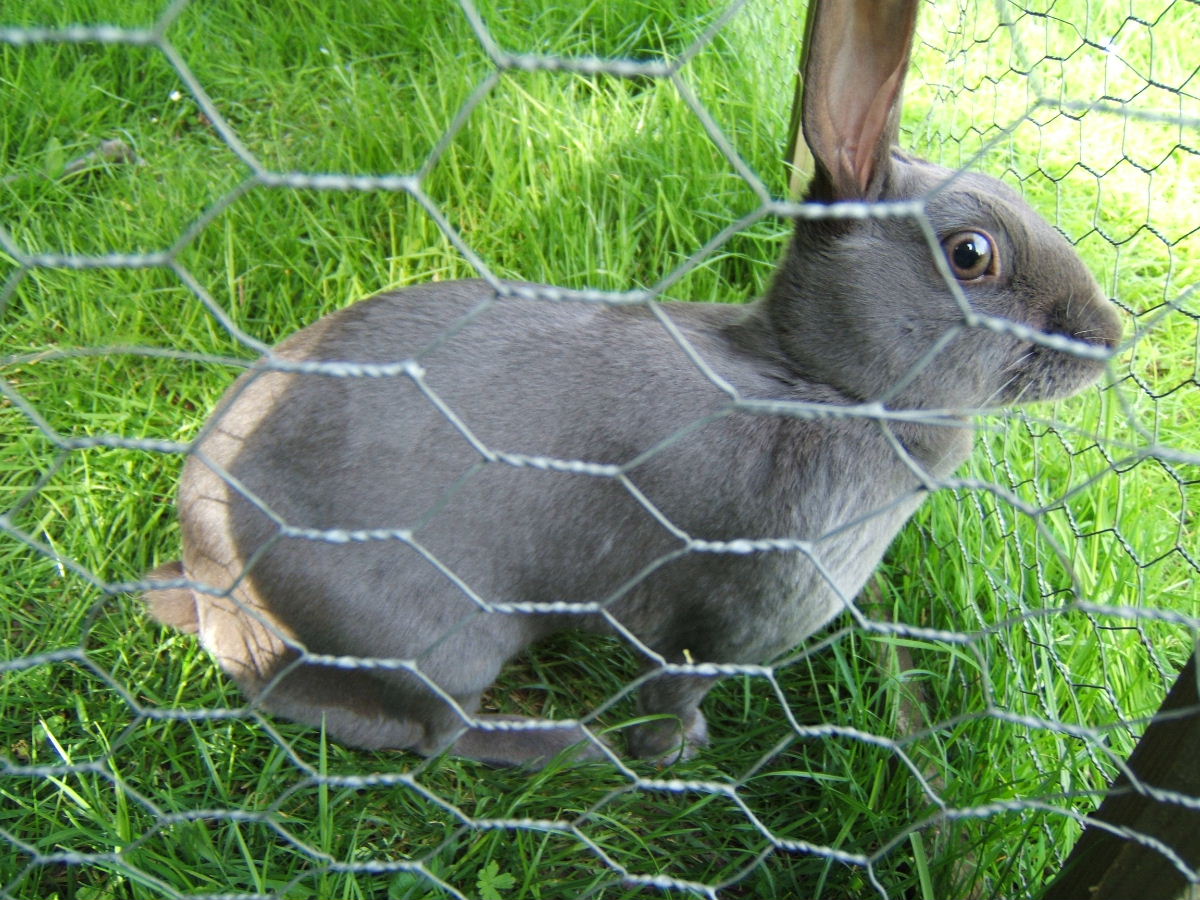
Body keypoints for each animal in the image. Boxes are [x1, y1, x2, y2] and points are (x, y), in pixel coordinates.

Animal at [143, 0, 1122, 767]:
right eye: (972, 254)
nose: (1111, 338)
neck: (818, 382)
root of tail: (211, 566)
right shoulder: (719, 625)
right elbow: (674, 690)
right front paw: (674, 752)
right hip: (436, 643)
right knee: (422, 731)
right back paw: (560, 744)